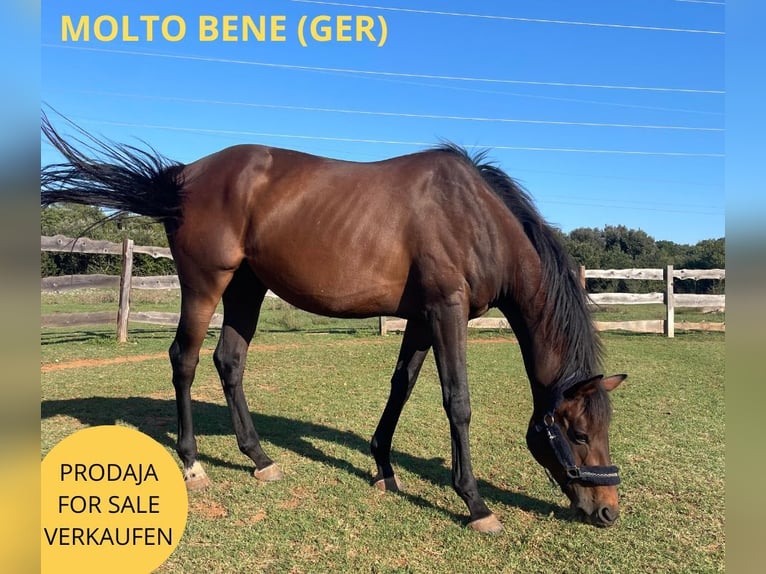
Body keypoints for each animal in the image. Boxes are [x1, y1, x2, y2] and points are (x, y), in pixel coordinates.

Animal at [41, 113, 626, 533]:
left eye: (603, 429)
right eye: (577, 432)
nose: (608, 510)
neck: (474, 218)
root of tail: (185, 175)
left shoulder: (421, 318)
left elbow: (401, 386)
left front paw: (384, 468)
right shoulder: (446, 311)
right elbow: (456, 401)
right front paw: (476, 503)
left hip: (247, 288)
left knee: (229, 361)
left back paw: (259, 458)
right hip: (206, 284)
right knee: (183, 360)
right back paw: (192, 464)